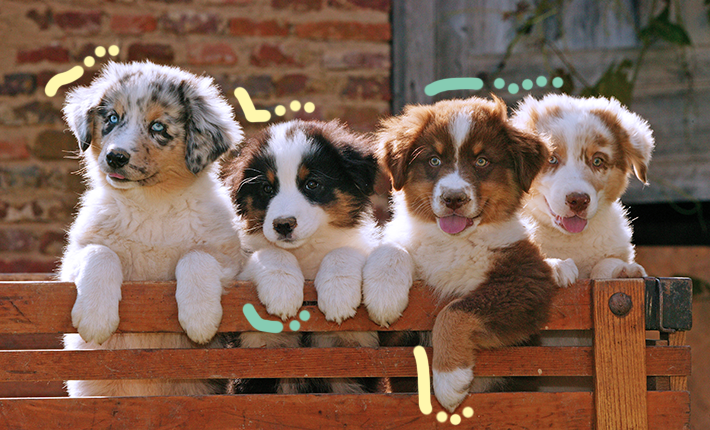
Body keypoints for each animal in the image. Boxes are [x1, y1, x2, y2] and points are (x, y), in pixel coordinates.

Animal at [61, 61, 245, 396]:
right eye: (112, 118)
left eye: (158, 128)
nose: (115, 157)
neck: (150, 205)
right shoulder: (71, 259)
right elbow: (100, 254)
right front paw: (96, 317)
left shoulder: (229, 258)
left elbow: (197, 257)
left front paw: (199, 318)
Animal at [227, 119, 384, 394]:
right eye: (267, 189)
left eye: (312, 184)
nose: (283, 225)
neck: (305, 252)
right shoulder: (254, 343)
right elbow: (271, 252)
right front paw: (282, 293)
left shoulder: (356, 343)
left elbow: (343, 251)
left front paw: (338, 296)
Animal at [364, 95, 560, 412]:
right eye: (434, 160)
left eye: (482, 161)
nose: (453, 199)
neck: (453, 242)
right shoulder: (393, 340)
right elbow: (393, 248)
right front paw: (384, 297)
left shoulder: (526, 279)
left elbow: (455, 310)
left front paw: (449, 378)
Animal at [512, 94, 656, 278]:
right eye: (551, 158)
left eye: (597, 161)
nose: (579, 200)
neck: (571, 240)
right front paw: (557, 265)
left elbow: (607, 262)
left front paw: (623, 270)